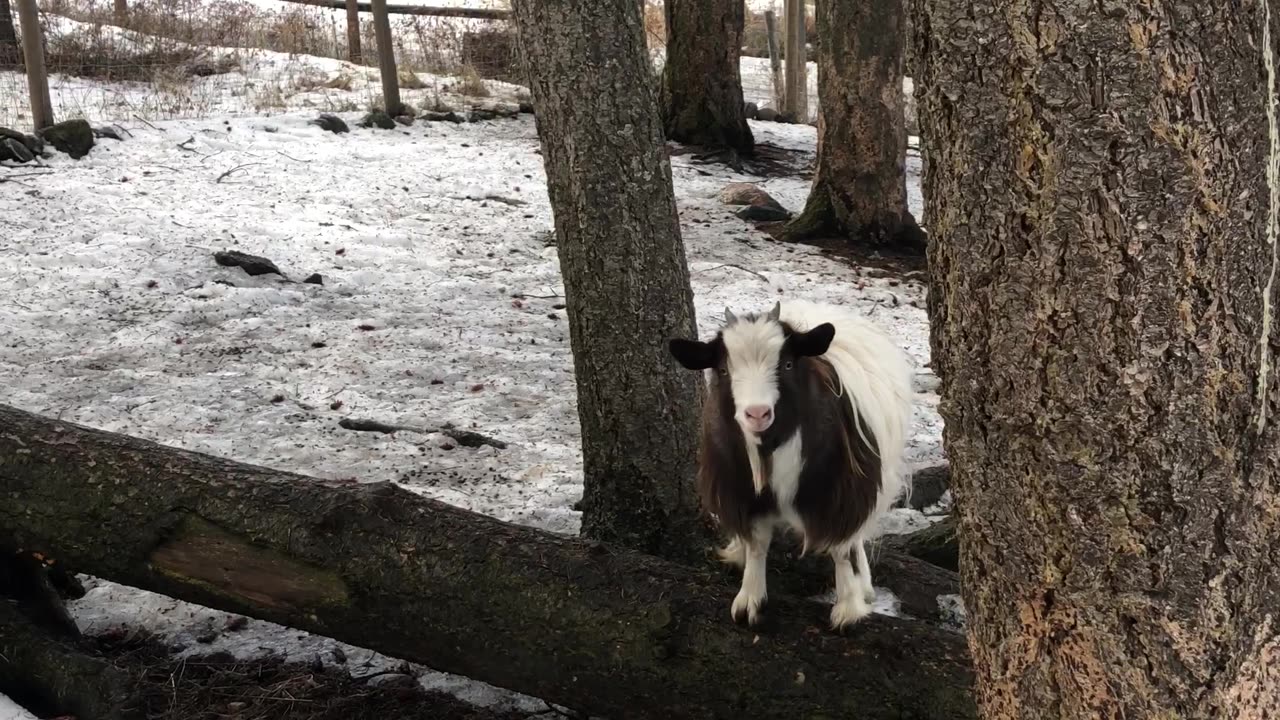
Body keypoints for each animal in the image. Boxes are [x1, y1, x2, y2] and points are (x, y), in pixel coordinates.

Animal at [670, 297, 911, 627]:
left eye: (786, 365)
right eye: (722, 369)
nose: (757, 413)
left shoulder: (840, 491)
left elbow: (840, 547)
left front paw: (848, 608)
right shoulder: (743, 491)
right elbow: (758, 542)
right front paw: (748, 602)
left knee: (857, 535)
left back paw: (865, 587)